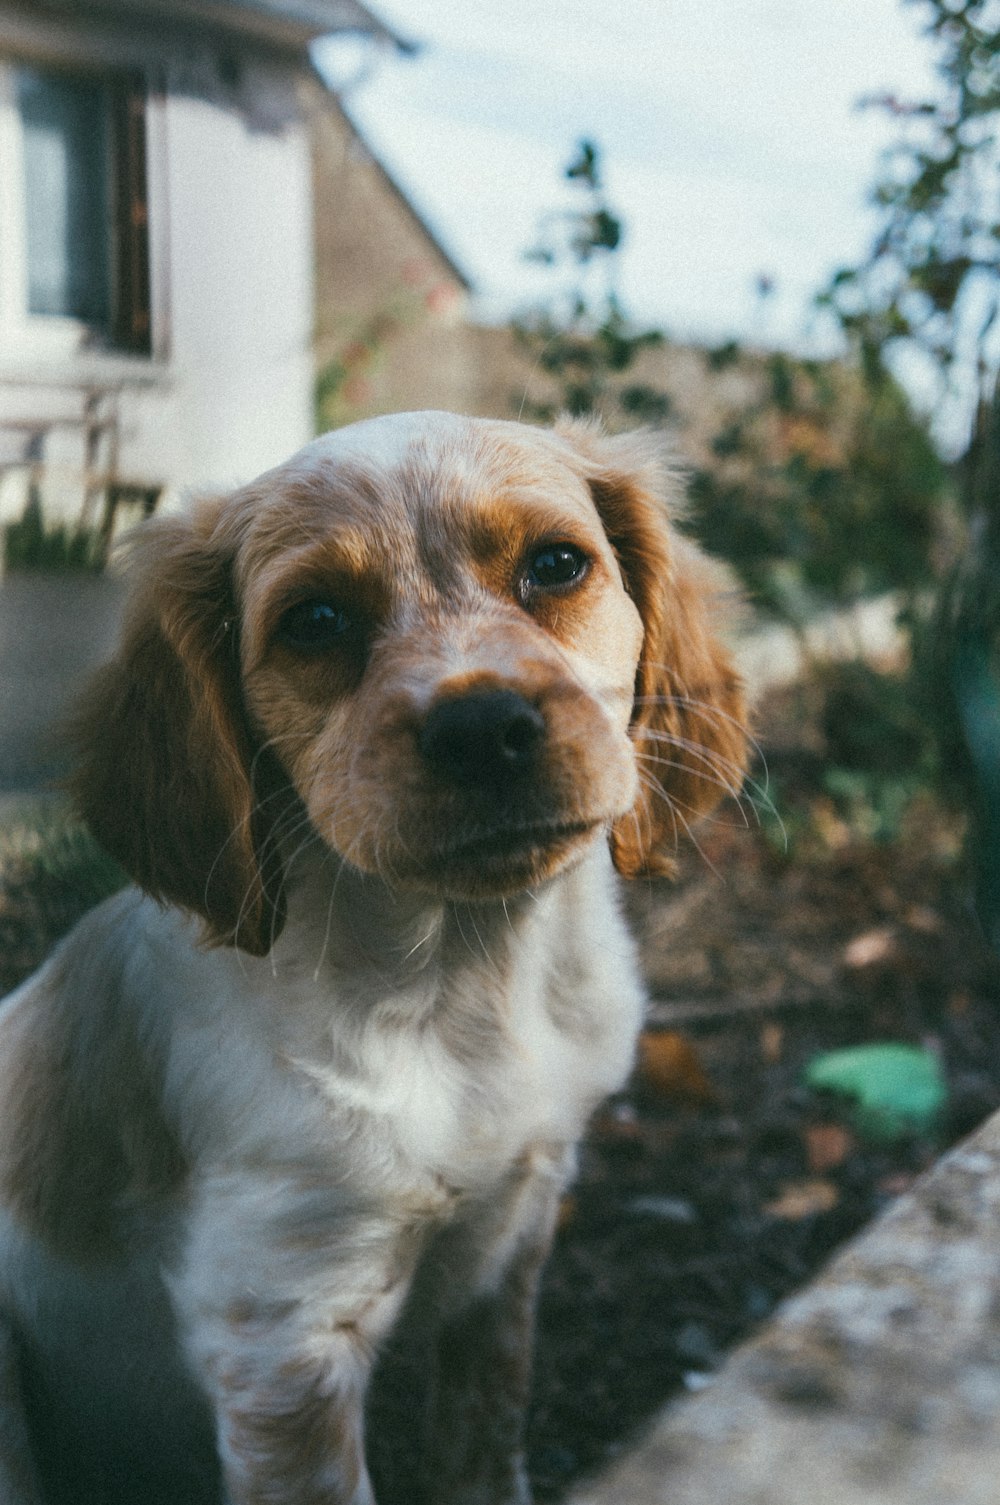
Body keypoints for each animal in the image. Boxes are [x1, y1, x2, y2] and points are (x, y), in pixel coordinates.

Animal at [0, 415, 746, 1505]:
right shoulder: (283, 1334)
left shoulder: (510, 1246)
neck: (461, 982)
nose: (482, 726)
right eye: (314, 620)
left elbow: (485, 1440)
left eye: (556, 565)